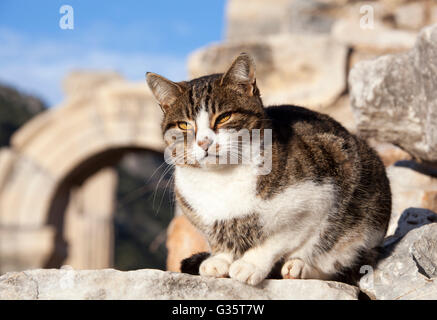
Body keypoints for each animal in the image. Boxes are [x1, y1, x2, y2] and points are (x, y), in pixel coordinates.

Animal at [146, 52, 392, 284]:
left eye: (224, 117)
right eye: (183, 125)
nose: (204, 142)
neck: (221, 179)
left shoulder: (315, 201)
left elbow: (277, 239)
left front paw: (250, 265)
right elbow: (220, 241)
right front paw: (219, 260)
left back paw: (299, 267)